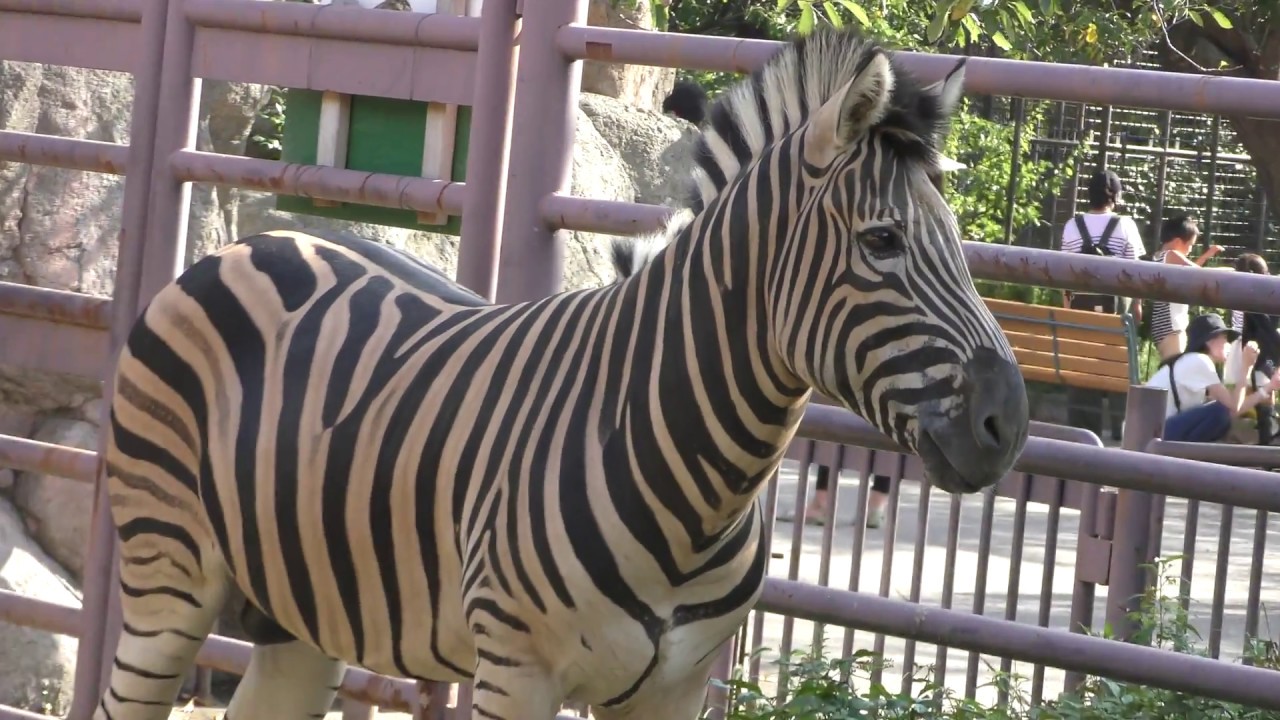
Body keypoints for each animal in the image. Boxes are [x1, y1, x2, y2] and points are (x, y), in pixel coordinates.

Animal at [97, 24, 1028, 720]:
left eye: (957, 242)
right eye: (883, 242)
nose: (1009, 424)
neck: (693, 478)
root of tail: (253, 242)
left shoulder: (673, 691)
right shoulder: (517, 671)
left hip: (299, 615)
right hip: (168, 576)